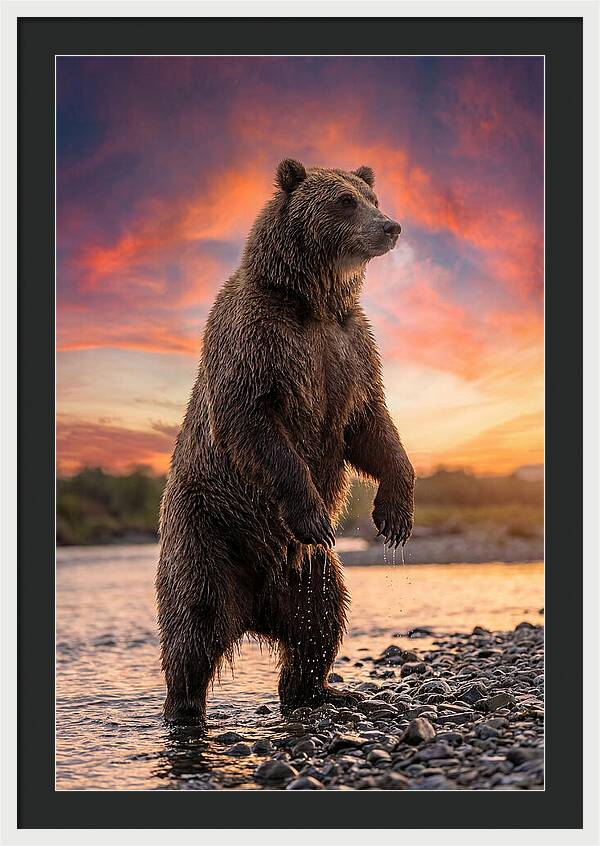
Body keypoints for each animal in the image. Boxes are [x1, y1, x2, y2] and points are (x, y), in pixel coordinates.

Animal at [156, 159, 415, 727]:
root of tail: (254, 609)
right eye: (344, 201)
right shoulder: (260, 342)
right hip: (208, 530)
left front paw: (395, 514)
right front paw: (315, 512)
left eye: (371, 196)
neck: (313, 303)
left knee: (321, 620)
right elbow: (255, 424)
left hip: (309, 572)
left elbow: (372, 427)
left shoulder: (350, 350)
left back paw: (323, 691)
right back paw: (184, 710)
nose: (390, 227)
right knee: (194, 622)